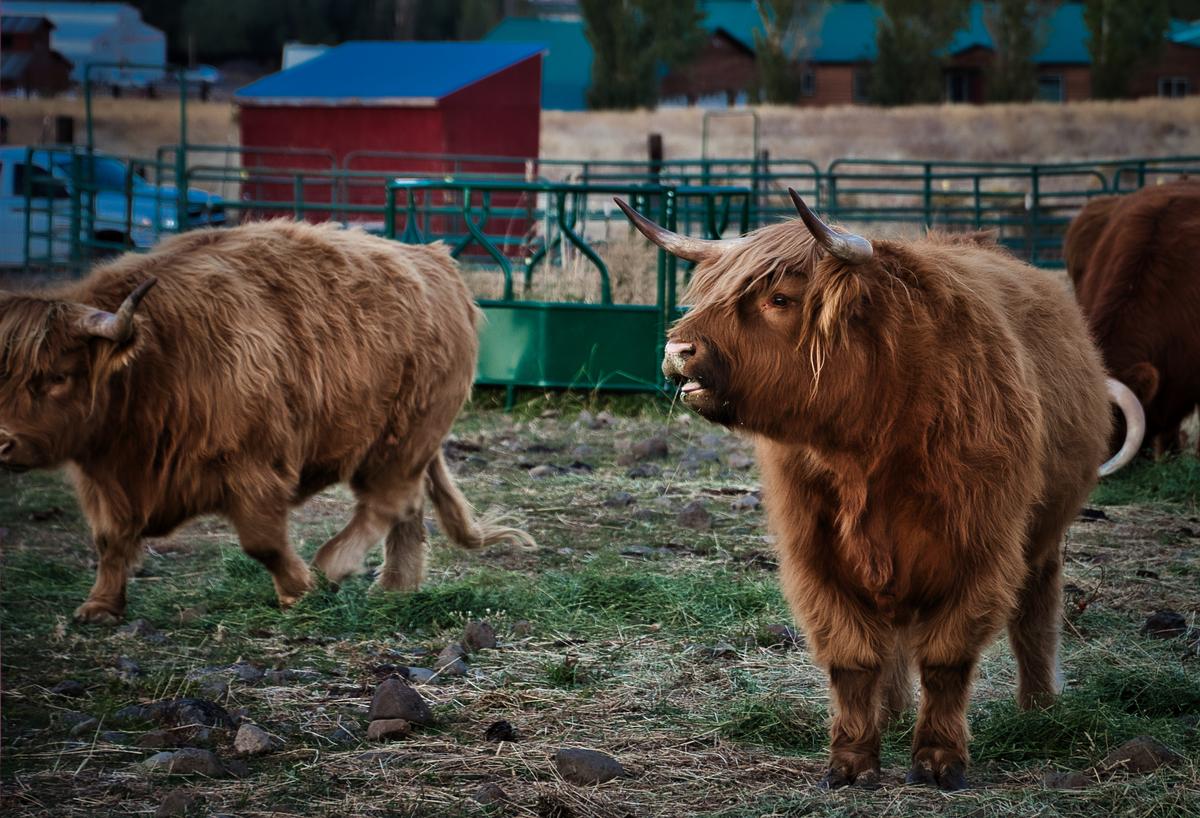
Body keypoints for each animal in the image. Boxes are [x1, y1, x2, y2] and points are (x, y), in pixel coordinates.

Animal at [0, 220, 533, 624]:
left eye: (58, 375)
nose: (3, 442)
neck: (153, 362)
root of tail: (438, 264)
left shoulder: (254, 467)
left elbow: (263, 542)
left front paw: (300, 589)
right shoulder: (102, 476)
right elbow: (109, 540)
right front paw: (99, 607)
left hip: (404, 438)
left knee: (390, 500)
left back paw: (334, 565)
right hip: (403, 444)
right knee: (406, 508)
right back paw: (395, 587)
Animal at [616, 191, 1142, 790]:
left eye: (780, 298)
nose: (677, 349)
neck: (873, 440)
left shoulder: (981, 552)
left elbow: (946, 657)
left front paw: (939, 759)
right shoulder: (817, 557)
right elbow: (852, 657)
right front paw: (851, 761)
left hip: (1044, 535)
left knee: (1035, 612)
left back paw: (1039, 706)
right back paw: (890, 714)